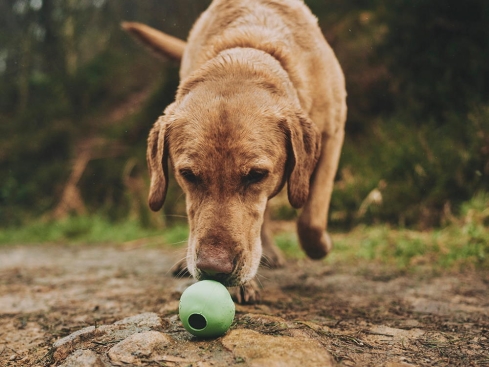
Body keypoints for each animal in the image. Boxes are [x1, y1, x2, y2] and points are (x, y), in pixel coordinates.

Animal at [126, 0, 346, 304]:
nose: (213, 268)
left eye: (256, 175)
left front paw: (322, 245)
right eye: (188, 175)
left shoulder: (332, 133)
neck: (248, 45)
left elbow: (311, 220)